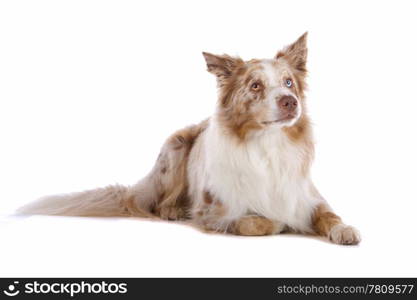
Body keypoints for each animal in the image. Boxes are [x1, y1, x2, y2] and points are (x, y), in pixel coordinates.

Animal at [17, 32, 360, 244]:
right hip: (175, 144)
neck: (268, 146)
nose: (291, 101)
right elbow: (252, 221)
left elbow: (330, 215)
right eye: (255, 86)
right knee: (160, 202)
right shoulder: (212, 213)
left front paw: (345, 229)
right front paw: (277, 223)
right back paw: (170, 209)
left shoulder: (308, 198)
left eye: (289, 82)